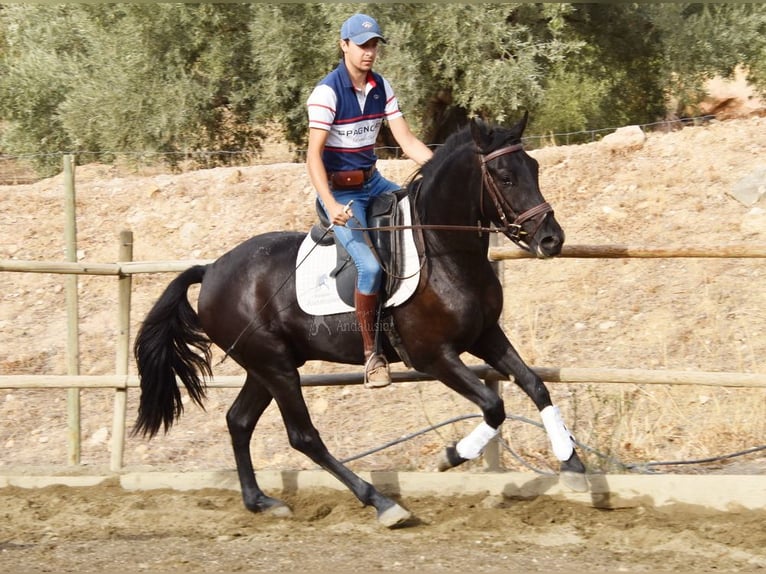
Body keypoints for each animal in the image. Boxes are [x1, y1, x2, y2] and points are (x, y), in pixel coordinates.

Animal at [134, 115, 588, 528]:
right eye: (505, 177)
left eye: (535, 169)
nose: (552, 239)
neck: (443, 251)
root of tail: (211, 270)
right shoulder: (434, 357)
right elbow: (494, 406)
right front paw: (452, 456)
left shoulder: (486, 336)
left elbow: (535, 384)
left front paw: (572, 464)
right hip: (275, 367)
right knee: (304, 437)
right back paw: (382, 503)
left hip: (266, 367)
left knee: (239, 421)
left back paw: (260, 501)